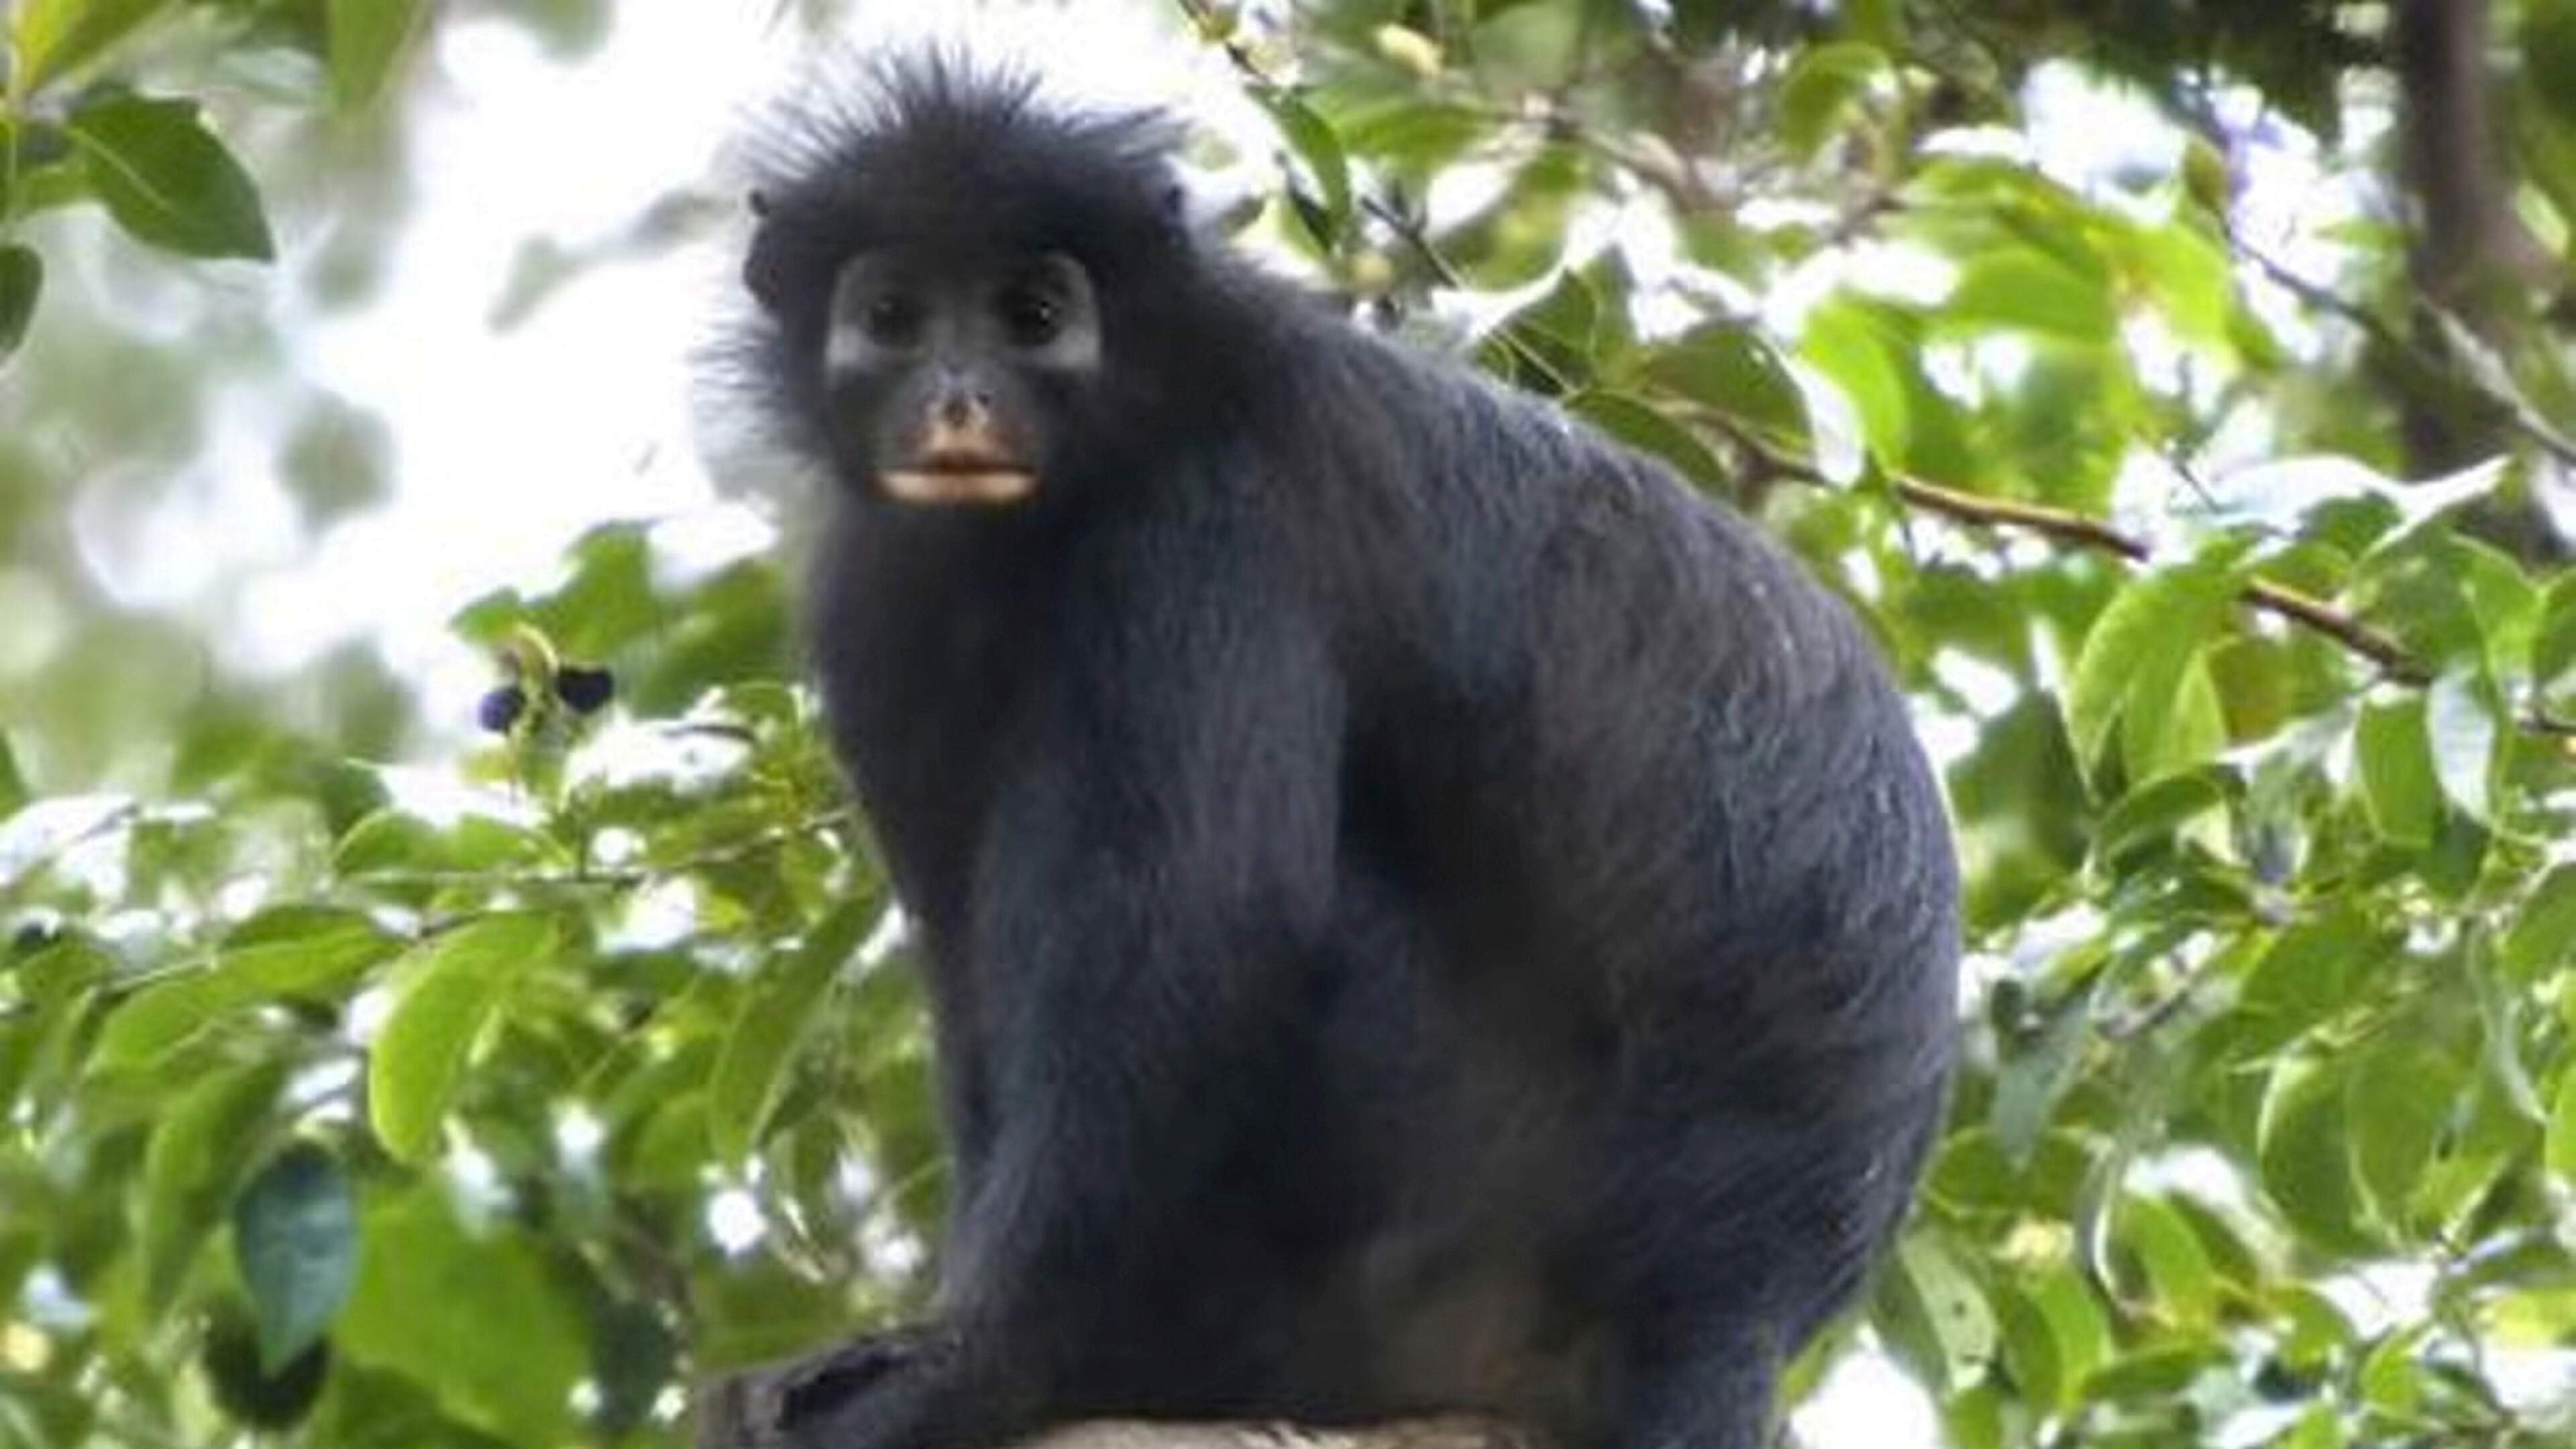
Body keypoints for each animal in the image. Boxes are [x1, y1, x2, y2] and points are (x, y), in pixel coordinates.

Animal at [703, 59, 1959, 1449]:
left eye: (1031, 315)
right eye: (893, 317)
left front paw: (979, 1365)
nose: (958, 398)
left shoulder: (1206, 528)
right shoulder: (878, 594)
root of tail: (1741, 1294)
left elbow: (1205, 933)